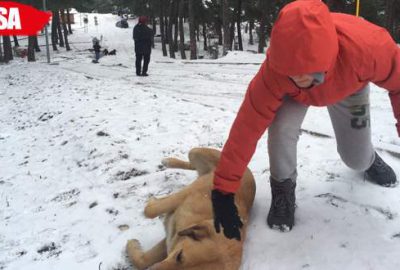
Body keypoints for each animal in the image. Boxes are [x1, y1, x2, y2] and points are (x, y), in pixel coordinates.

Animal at [126, 148, 255, 270]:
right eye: (179, 256)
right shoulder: (186, 194)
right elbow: (150, 211)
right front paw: (152, 201)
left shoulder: (171, 239)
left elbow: (142, 261)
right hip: (196, 152)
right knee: (192, 164)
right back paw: (168, 161)